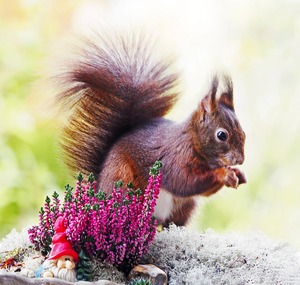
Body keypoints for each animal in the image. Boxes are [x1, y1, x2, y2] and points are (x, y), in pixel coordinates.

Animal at [55, 31, 246, 226]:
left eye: (244, 134)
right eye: (221, 135)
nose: (240, 160)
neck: (193, 141)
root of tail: (100, 191)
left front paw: (238, 173)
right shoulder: (173, 158)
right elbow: (184, 182)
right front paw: (224, 174)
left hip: (185, 207)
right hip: (123, 182)